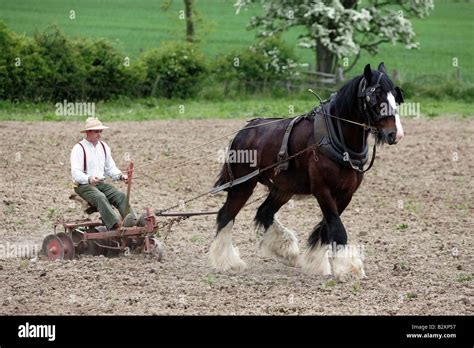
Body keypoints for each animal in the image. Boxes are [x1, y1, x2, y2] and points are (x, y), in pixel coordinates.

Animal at [210, 63, 404, 280]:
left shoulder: (346, 194)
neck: (335, 138)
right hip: (242, 185)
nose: (395, 134)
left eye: (395, 97)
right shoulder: (322, 190)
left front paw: (315, 262)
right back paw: (228, 261)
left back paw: (285, 250)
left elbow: (327, 227)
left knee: (265, 212)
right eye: (375, 96)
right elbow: (337, 227)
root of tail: (244, 131)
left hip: (283, 188)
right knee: (226, 215)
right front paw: (349, 267)